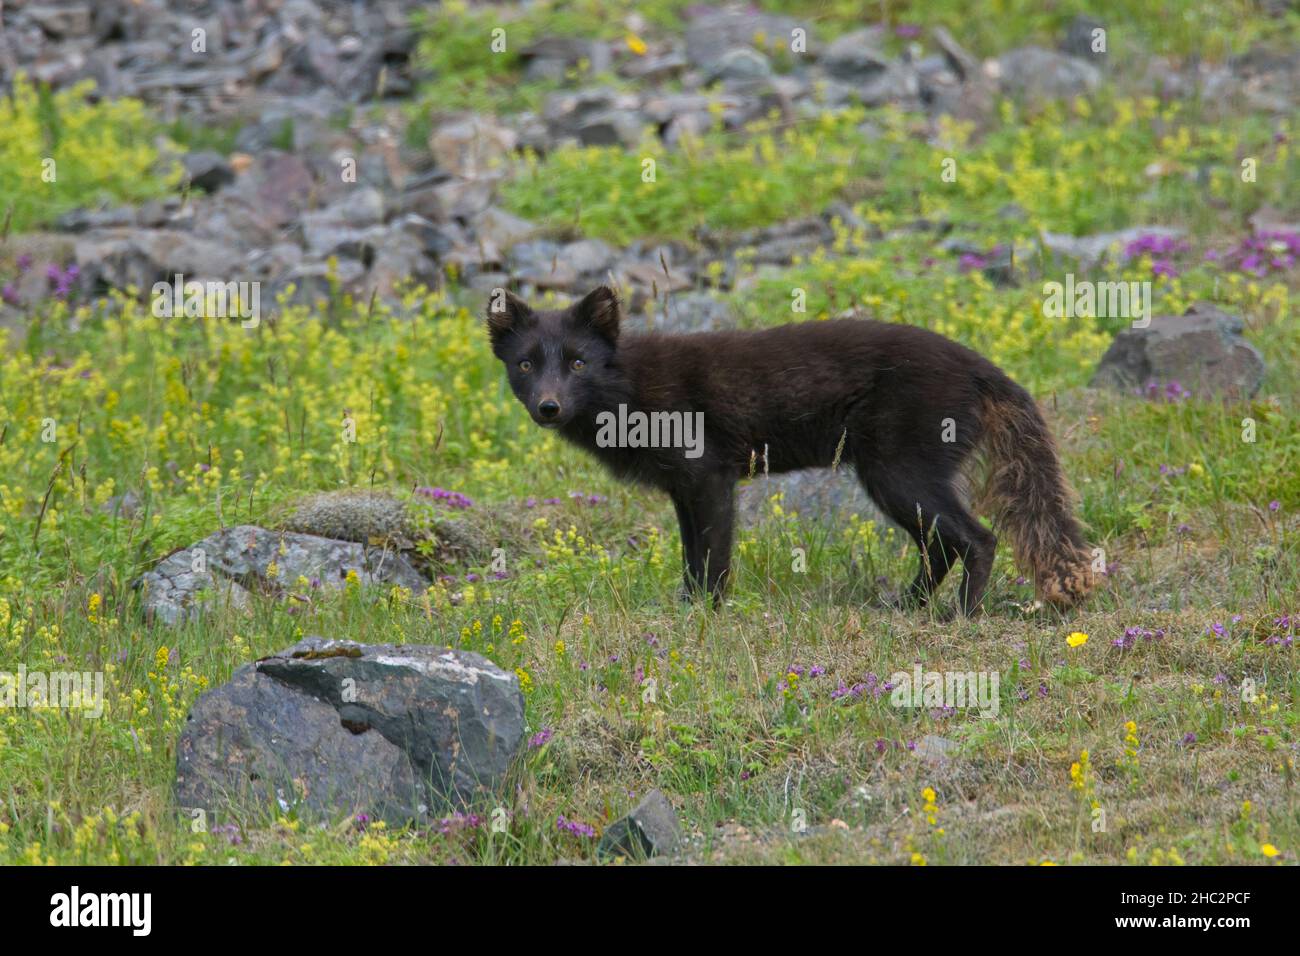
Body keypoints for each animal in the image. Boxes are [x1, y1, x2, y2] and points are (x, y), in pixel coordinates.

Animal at [488, 283, 1097, 613]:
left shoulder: (708, 475)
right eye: (525, 365)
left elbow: (713, 561)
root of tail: (979, 365)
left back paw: (958, 617)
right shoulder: (684, 489)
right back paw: (909, 607)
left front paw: (707, 616)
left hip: (897, 474)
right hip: (896, 480)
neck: (627, 387)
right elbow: (690, 558)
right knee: (942, 546)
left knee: (977, 539)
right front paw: (686, 609)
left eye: (577, 363)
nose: (548, 407)